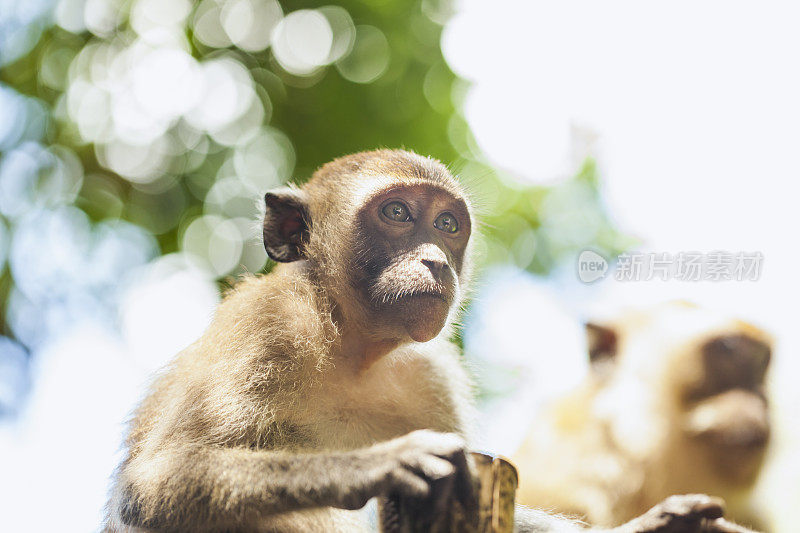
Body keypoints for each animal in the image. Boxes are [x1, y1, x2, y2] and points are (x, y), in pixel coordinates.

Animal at [104, 151, 744, 532]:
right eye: (396, 213)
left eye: (446, 225)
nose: (436, 260)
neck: (349, 346)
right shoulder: (260, 327)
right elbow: (157, 483)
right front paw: (378, 464)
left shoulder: (430, 375)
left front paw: (653, 525)